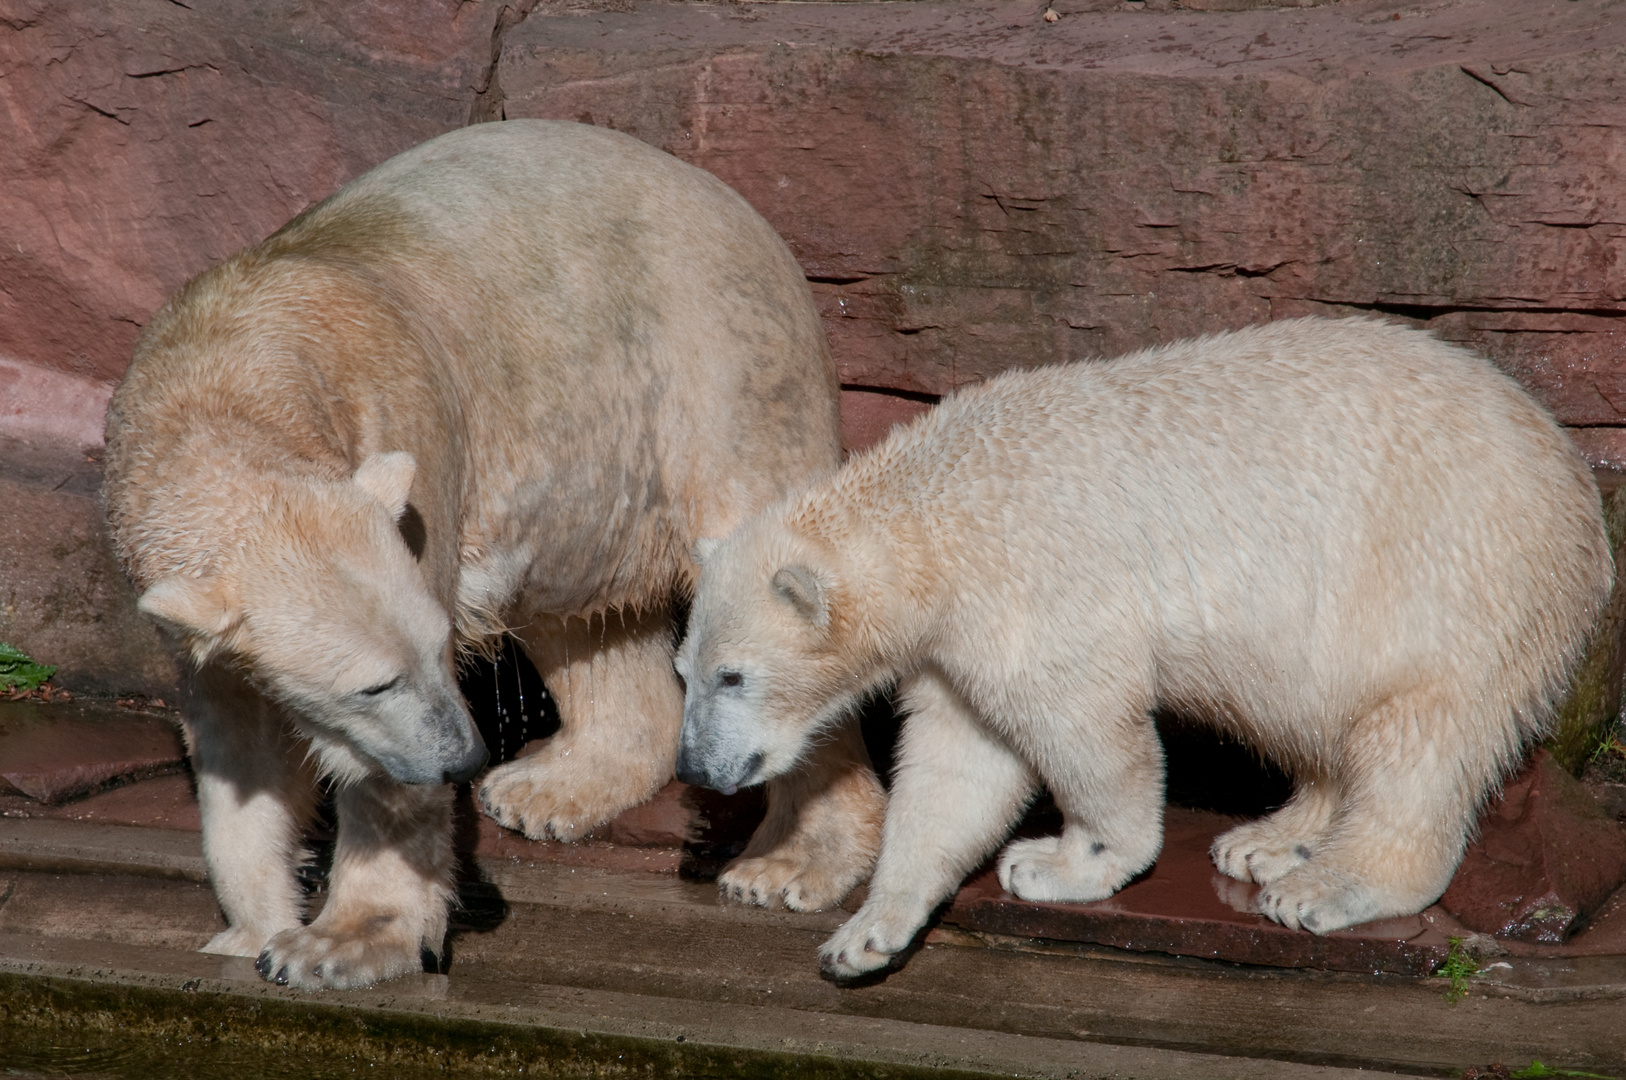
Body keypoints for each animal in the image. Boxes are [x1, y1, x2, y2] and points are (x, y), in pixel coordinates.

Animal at [101, 117, 884, 988]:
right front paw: (248, 931)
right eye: (372, 684)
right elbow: (237, 756)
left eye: (437, 648)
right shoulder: (193, 613)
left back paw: (792, 860)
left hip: (723, 376)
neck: (230, 369)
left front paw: (341, 943)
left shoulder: (410, 442)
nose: (463, 758)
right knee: (579, 607)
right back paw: (548, 785)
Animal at [676, 313, 1612, 975]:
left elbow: (1086, 729)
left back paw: (1324, 883)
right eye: (684, 670)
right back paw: (1271, 838)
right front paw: (868, 934)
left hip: (1455, 578)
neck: (937, 507)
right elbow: (956, 765)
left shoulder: (1036, 581)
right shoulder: (958, 637)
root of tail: (1580, 494)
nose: (693, 768)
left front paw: (1058, 863)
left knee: (1422, 734)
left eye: (734, 676)